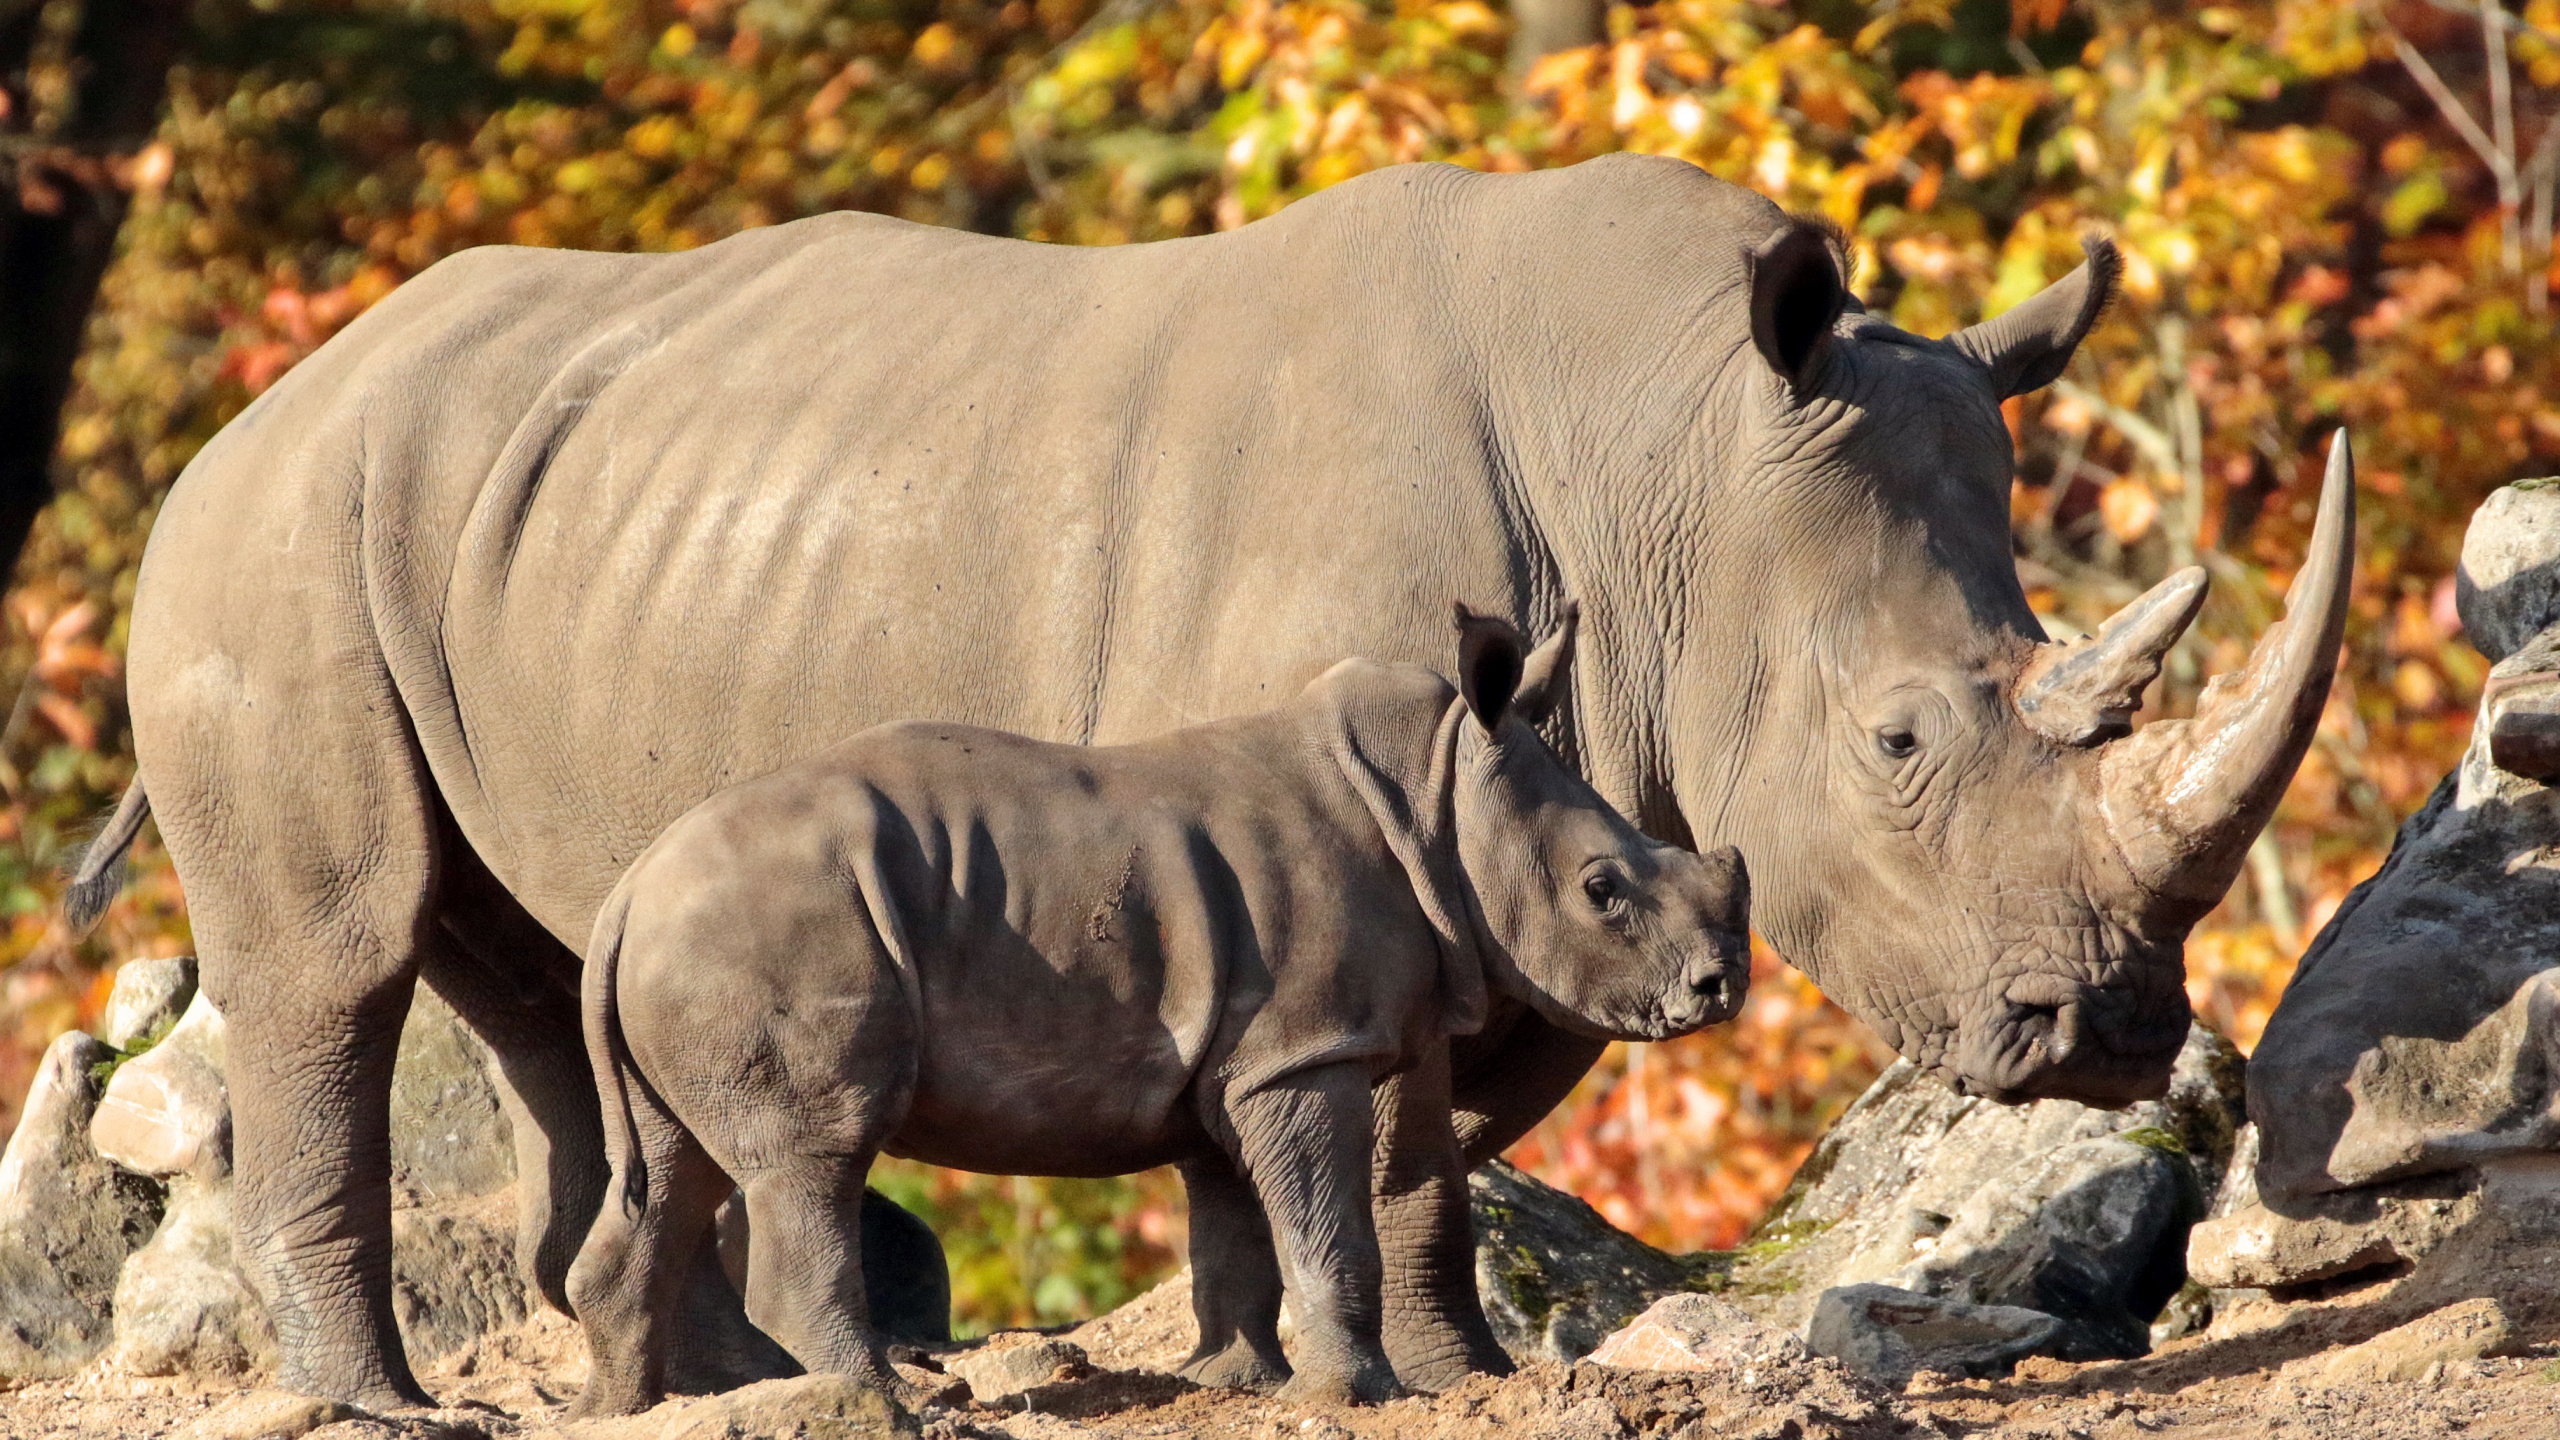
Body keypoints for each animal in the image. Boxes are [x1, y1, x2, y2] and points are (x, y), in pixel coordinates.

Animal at [570, 599, 1751, 1404]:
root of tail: (625, 895)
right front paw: (1360, 1395)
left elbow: (1234, 1228)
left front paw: (1241, 1382)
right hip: (767, 930)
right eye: (1602, 891)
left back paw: (634, 1409)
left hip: (697, 946)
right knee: (812, 1158)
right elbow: (1327, 1225)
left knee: (675, 1166)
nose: (1719, 987)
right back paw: (892, 1406)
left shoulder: (1241, 1058)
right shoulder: (1303, 1051)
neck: (1437, 798)